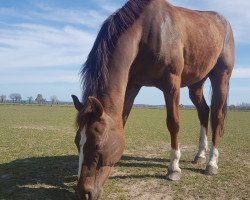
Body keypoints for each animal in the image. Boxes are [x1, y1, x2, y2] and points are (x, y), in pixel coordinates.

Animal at [72, 0, 234, 199]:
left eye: (97, 145)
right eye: (77, 142)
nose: (83, 192)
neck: (145, 31)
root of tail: (224, 21)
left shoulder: (171, 83)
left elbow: (173, 123)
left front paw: (174, 169)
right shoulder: (132, 85)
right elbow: (122, 120)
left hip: (221, 77)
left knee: (216, 117)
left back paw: (211, 163)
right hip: (196, 84)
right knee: (204, 112)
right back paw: (200, 155)